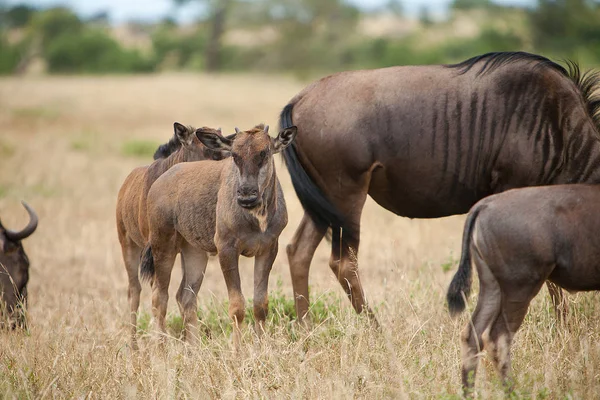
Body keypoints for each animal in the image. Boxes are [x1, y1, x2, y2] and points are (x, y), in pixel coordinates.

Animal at [116, 122, 231, 346]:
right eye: (208, 149)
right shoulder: (154, 252)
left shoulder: (191, 249)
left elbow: (184, 297)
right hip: (128, 247)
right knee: (134, 291)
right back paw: (134, 346)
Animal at [141, 124, 296, 346]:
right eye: (235, 155)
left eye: (264, 153)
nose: (246, 196)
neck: (255, 217)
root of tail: (161, 180)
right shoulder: (226, 249)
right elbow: (237, 306)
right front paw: (238, 352)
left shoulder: (268, 249)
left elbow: (260, 305)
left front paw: (261, 349)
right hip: (162, 246)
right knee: (159, 299)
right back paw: (161, 349)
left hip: (195, 252)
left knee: (185, 297)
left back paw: (194, 348)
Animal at [446, 184, 600, 394]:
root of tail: (484, 205)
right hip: (520, 290)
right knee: (498, 338)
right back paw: (512, 392)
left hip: (492, 288)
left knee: (472, 336)